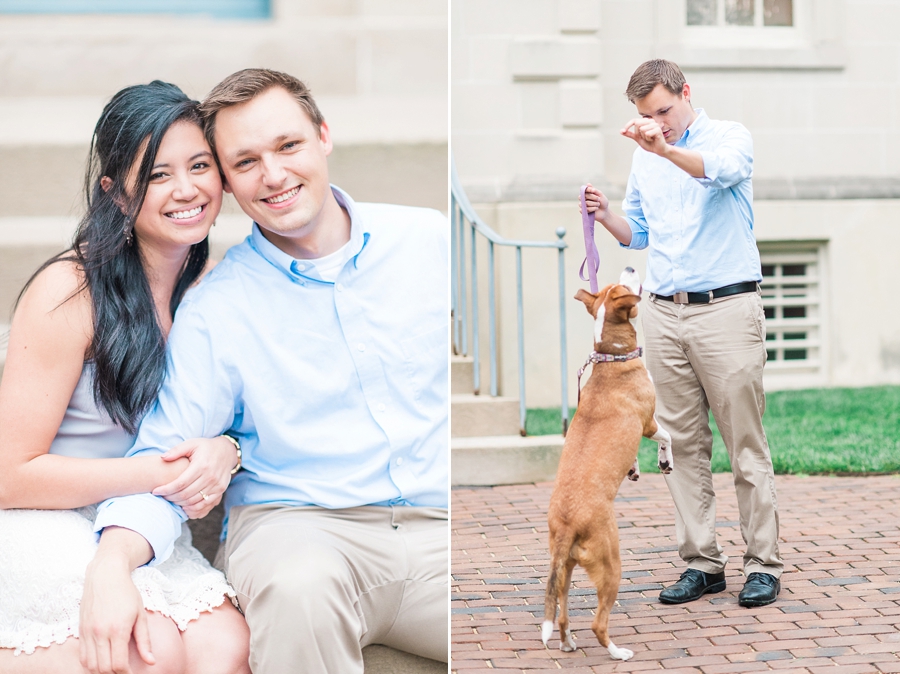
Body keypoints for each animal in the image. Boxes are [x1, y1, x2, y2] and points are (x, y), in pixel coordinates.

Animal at [536, 266, 672, 660]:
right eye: (624, 286)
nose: (629, 267)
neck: (613, 357)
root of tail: (568, 524)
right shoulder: (649, 422)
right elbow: (667, 437)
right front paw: (664, 461)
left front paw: (635, 469)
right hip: (611, 565)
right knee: (598, 622)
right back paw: (617, 652)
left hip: (563, 568)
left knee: (563, 612)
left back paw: (568, 642)